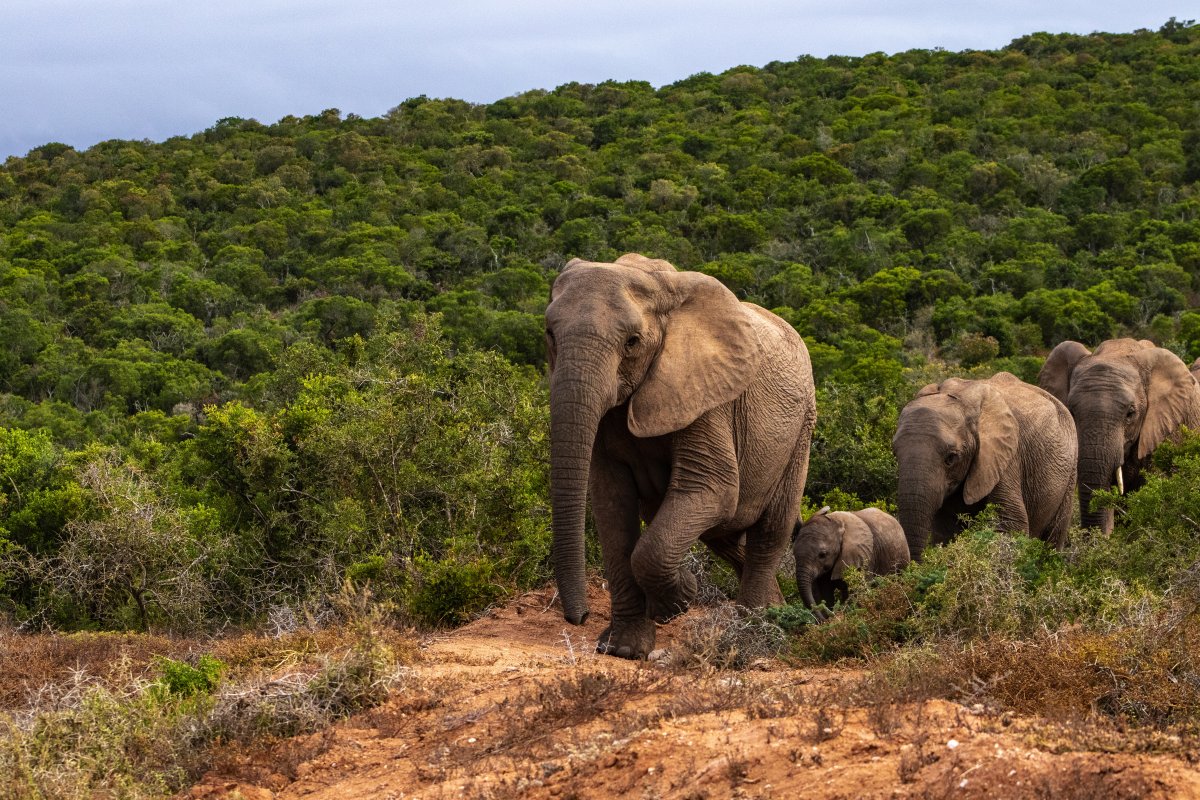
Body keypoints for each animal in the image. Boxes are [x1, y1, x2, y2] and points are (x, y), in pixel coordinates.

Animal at [547, 253, 816, 662]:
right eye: (549, 335)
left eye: (632, 342)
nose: (579, 618)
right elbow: (611, 503)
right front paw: (623, 649)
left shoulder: (708, 396)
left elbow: (712, 489)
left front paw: (680, 600)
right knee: (726, 538)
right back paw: (775, 613)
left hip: (801, 429)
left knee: (770, 531)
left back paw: (756, 637)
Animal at [892, 371, 1080, 563]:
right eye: (895, 453)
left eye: (951, 458)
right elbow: (946, 531)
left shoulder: (1005, 455)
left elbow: (1009, 524)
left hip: (1071, 468)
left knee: (1054, 535)